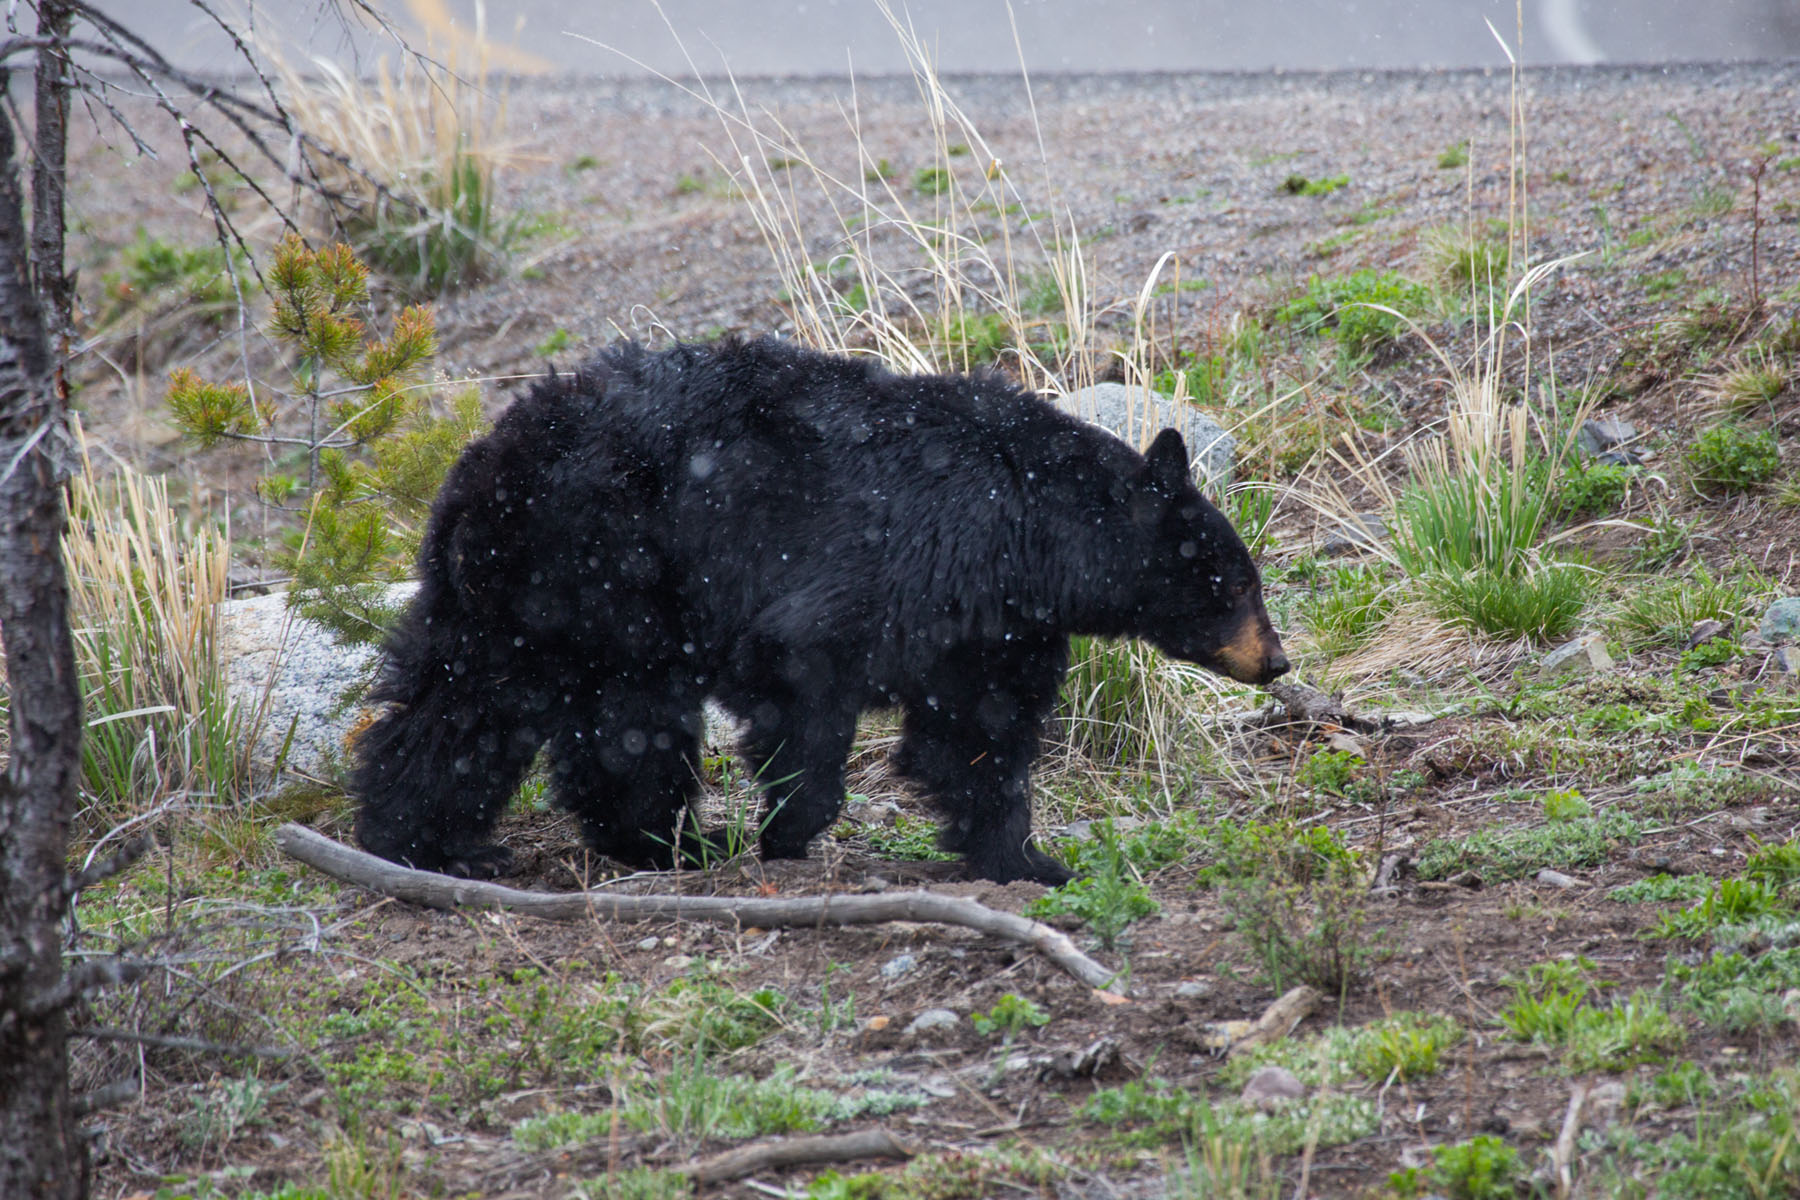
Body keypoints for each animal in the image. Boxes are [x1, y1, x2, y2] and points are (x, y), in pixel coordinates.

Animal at [347, 338, 1281, 881]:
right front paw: (790, 831)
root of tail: (484, 457)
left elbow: (976, 736)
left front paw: (1025, 857)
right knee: (534, 705)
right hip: (588, 565)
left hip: (543, 597)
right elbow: (808, 689)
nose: (1278, 660)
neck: (1029, 528)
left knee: (502, 704)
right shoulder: (890, 566)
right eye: (1236, 584)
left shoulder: (990, 626)